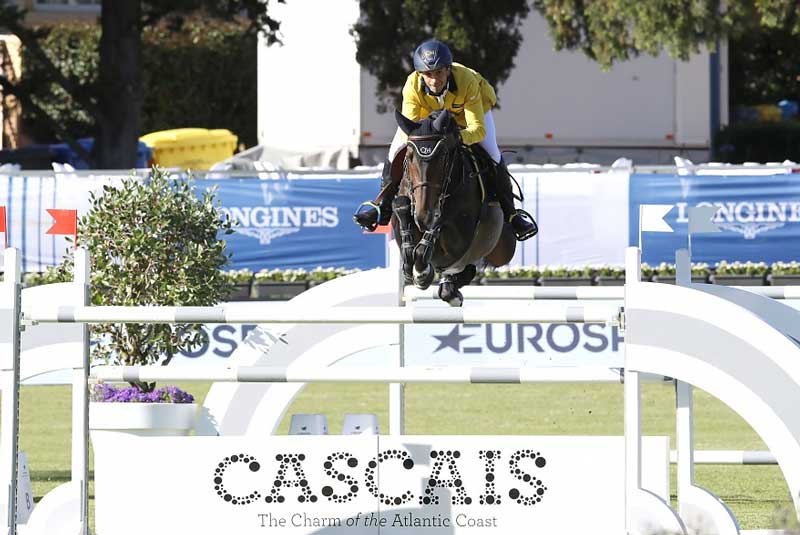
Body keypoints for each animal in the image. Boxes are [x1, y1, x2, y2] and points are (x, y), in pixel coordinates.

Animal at [391, 109, 516, 306]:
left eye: (442, 157)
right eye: (409, 157)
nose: (423, 217)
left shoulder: (458, 243)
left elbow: (437, 228)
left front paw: (423, 273)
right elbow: (402, 212)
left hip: (503, 247)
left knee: (472, 265)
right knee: (467, 269)